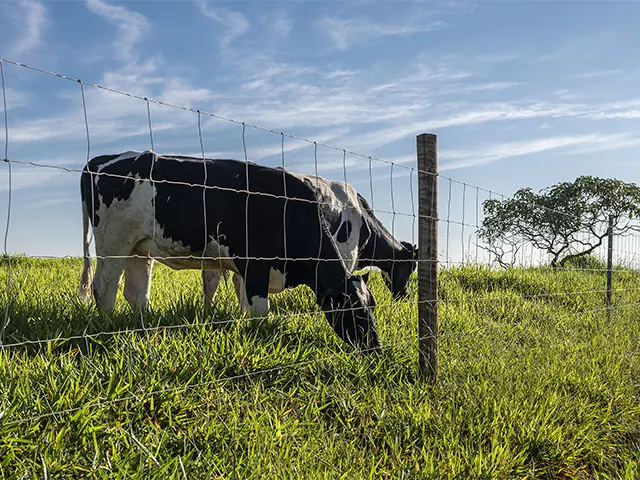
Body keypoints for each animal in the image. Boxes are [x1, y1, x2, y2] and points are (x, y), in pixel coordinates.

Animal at [79, 152, 380, 350]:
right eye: (353, 309)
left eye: (372, 304)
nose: (375, 346)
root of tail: (101, 160)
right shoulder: (254, 265)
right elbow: (259, 311)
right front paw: (261, 336)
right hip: (114, 242)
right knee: (103, 287)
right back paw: (107, 325)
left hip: (138, 248)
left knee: (136, 292)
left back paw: (146, 325)